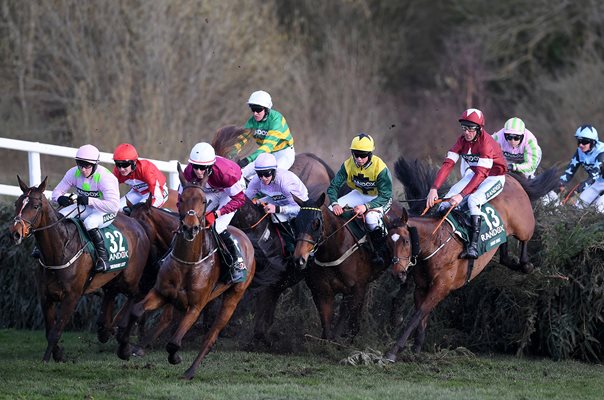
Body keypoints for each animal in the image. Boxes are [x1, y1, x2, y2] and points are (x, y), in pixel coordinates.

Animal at [8, 177, 151, 360]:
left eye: (35, 206)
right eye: (17, 203)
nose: (15, 233)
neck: (60, 250)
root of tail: (139, 225)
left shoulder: (72, 297)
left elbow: (55, 332)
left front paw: (47, 360)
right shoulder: (45, 296)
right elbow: (49, 331)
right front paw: (58, 354)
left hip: (130, 278)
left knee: (137, 295)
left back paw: (123, 337)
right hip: (112, 279)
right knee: (111, 296)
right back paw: (107, 329)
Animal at [117, 166, 256, 382]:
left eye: (204, 201)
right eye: (181, 199)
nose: (190, 227)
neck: (188, 261)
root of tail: (246, 239)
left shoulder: (195, 306)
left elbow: (174, 341)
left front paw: (174, 357)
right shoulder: (162, 293)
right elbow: (137, 311)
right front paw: (125, 348)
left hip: (233, 297)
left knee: (211, 336)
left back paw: (190, 371)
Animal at [384, 157, 560, 362]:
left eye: (405, 241)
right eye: (388, 242)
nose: (398, 273)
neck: (436, 244)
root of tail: (509, 176)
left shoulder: (441, 287)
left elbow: (417, 315)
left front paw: (393, 351)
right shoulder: (421, 287)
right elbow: (422, 317)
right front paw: (417, 348)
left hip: (523, 224)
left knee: (524, 240)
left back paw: (526, 265)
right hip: (504, 229)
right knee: (504, 248)